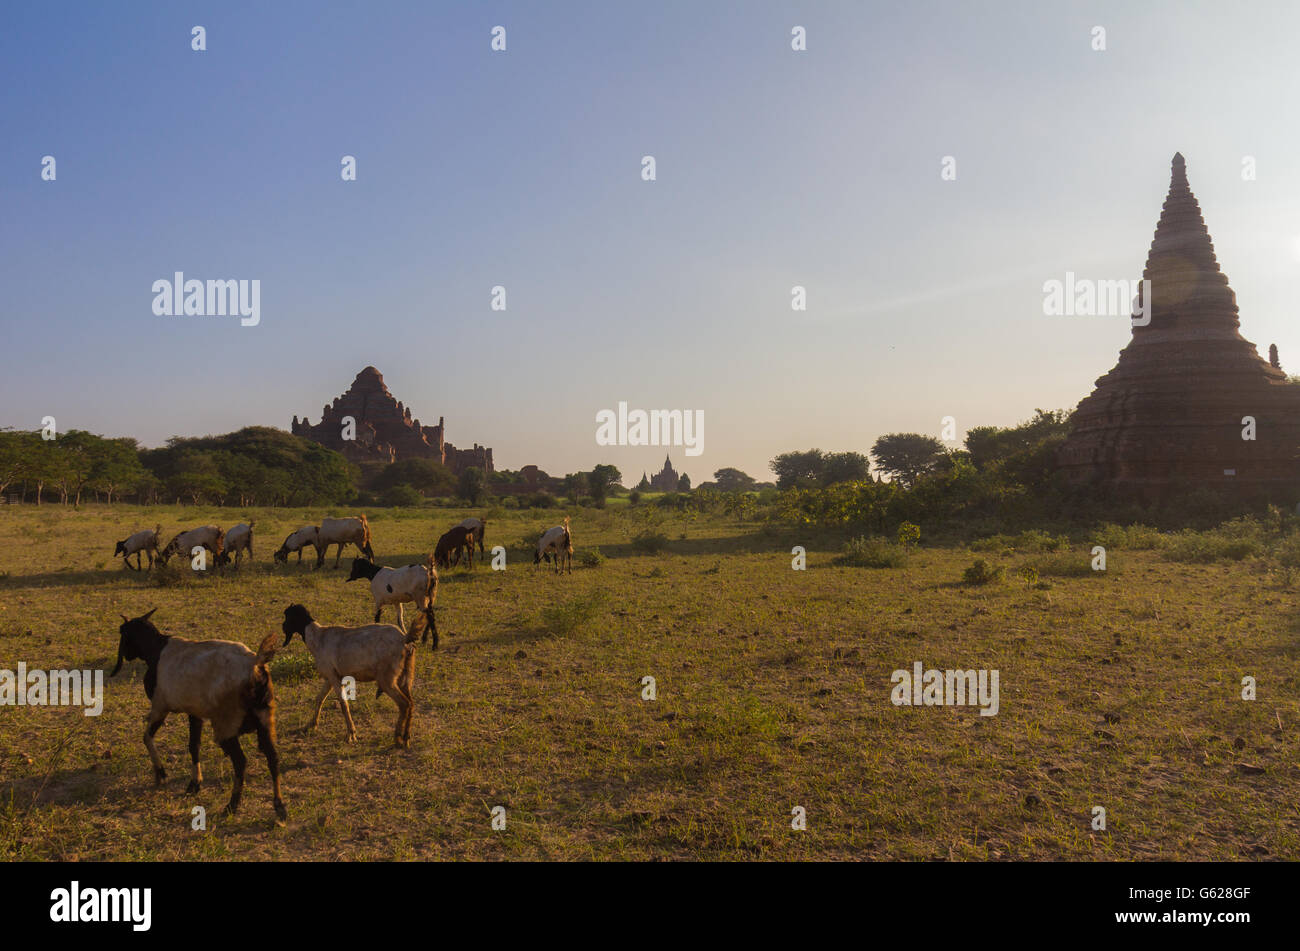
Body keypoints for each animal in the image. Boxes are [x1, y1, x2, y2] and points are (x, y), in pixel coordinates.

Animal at [110, 613, 286, 821]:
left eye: (123, 633)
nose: (127, 655)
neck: (156, 649)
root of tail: (255, 665)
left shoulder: (160, 706)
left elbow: (146, 737)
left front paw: (161, 774)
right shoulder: (195, 712)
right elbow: (194, 745)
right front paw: (194, 784)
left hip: (226, 724)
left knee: (241, 761)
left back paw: (232, 805)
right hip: (265, 718)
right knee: (273, 757)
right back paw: (279, 806)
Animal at [279, 605, 421, 748]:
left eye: (288, 616)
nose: (283, 627)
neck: (318, 638)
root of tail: (405, 640)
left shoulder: (333, 676)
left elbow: (343, 703)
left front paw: (351, 734)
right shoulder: (331, 676)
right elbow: (320, 698)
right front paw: (311, 725)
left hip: (387, 678)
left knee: (404, 704)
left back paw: (397, 739)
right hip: (406, 676)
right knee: (411, 703)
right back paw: (406, 738)